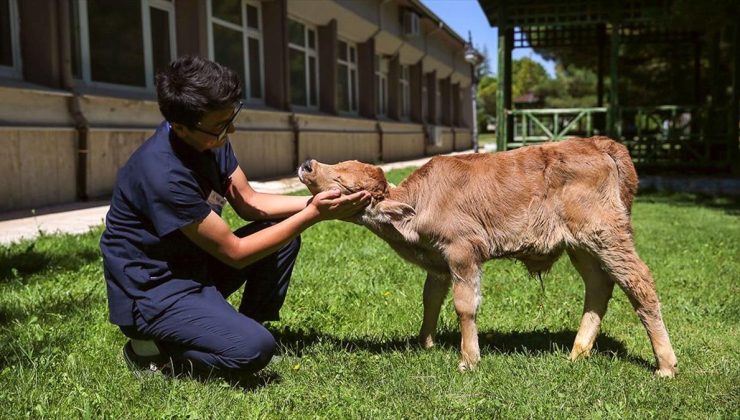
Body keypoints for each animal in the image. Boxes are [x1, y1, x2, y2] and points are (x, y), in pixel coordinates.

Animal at [298, 138, 680, 378]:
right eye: (338, 165)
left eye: (344, 183)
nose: (307, 164)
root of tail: (599, 143)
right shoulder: (439, 262)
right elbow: (430, 298)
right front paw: (426, 344)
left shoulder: (462, 251)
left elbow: (464, 305)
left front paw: (468, 359)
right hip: (581, 246)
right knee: (599, 286)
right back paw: (577, 353)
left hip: (606, 235)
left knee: (638, 283)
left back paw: (665, 366)